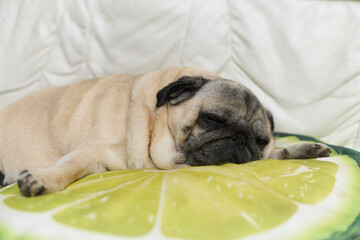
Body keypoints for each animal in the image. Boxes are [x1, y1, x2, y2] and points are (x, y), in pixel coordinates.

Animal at [0, 66, 332, 196]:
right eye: (212, 119)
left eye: (260, 139)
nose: (240, 137)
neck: (147, 121)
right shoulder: (90, 153)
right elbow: (67, 166)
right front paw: (44, 178)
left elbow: (270, 157)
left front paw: (301, 149)